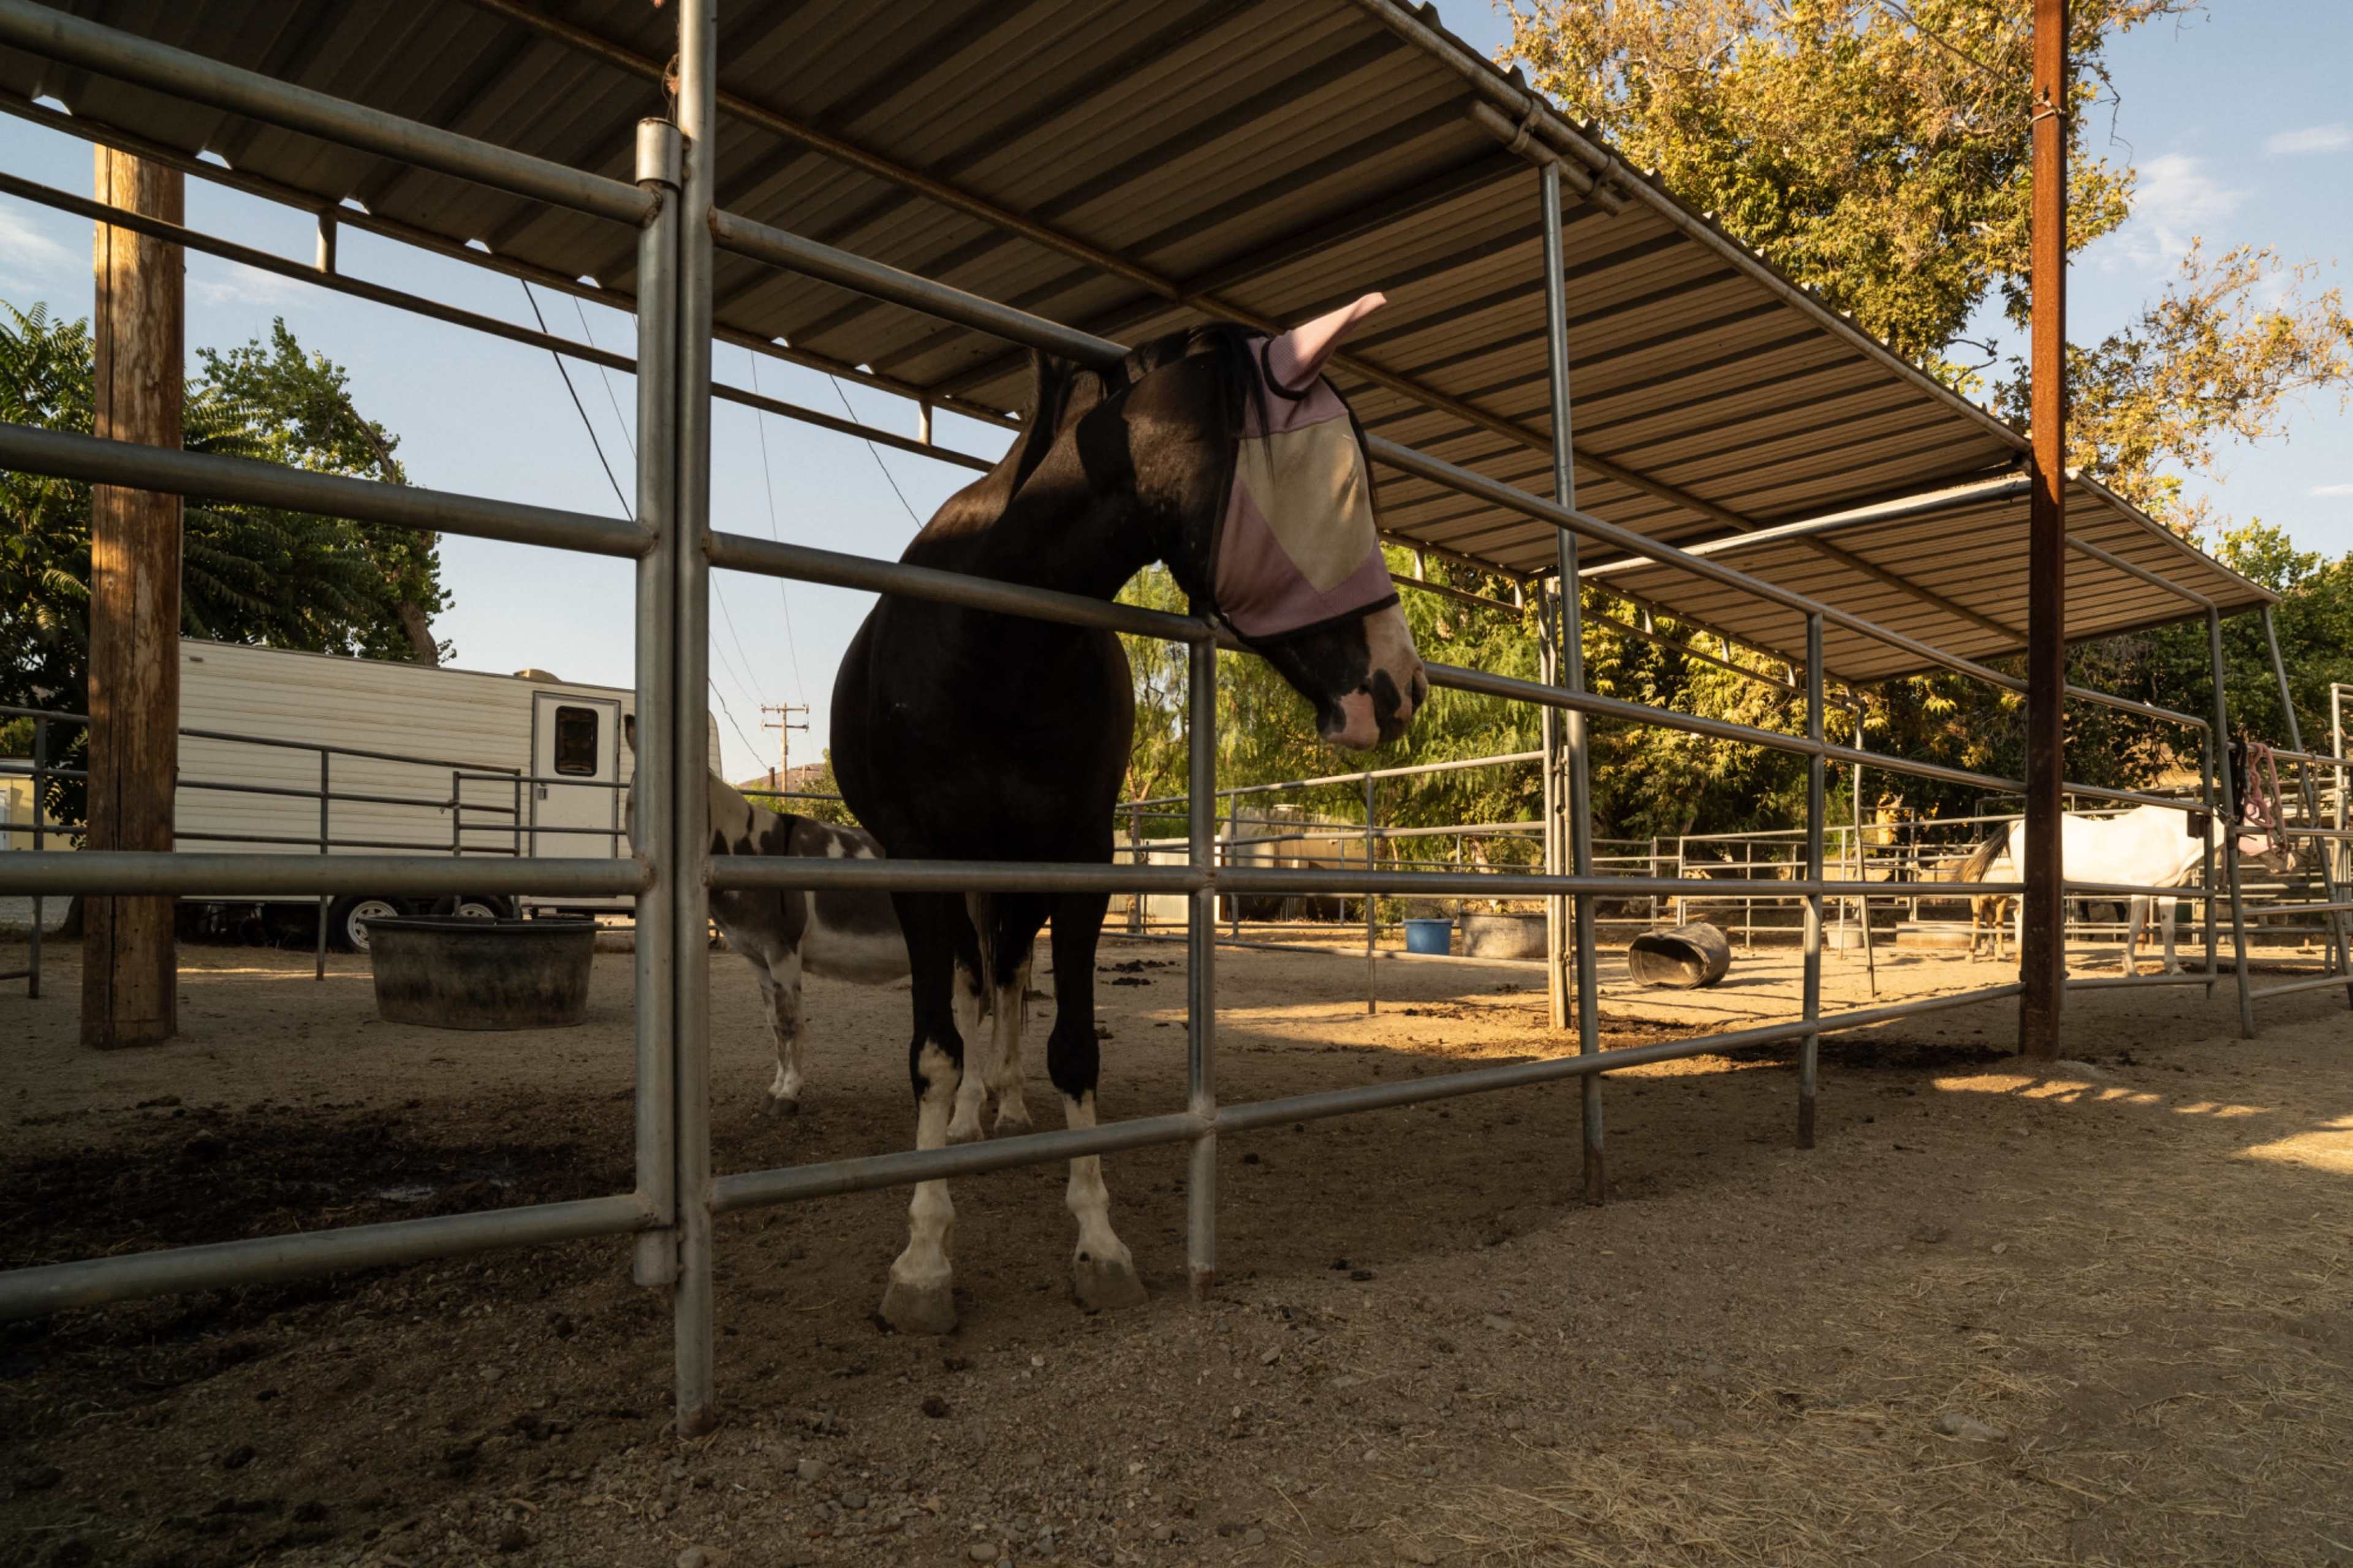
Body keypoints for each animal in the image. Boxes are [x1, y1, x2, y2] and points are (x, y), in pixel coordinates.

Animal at [831, 297, 1427, 1333]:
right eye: (1343, 487)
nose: (1402, 686)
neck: (996, 637)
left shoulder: (1078, 858)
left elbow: (1072, 1046)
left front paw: (1099, 1243)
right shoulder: (919, 860)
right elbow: (934, 1052)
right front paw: (924, 1259)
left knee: (1009, 981)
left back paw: (1006, 1104)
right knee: (979, 986)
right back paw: (976, 1116)